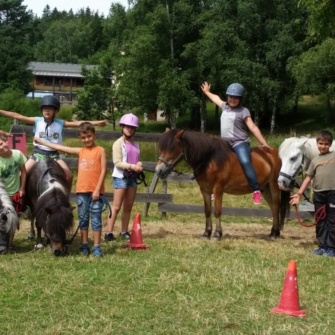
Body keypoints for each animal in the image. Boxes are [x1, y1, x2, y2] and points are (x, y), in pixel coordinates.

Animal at [156, 129, 290, 239]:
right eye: (161, 148)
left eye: (172, 147)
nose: (159, 170)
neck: (210, 160)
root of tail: (274, 152)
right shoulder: (205, 190)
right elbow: (207, 211)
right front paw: (206, 233)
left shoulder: (218, 189)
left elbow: (217, 211)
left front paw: (217, 234)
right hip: (265, 188)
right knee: (272, 207)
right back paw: (273, 232)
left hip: (274, 185)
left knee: (276, 206)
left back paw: (275, 234)